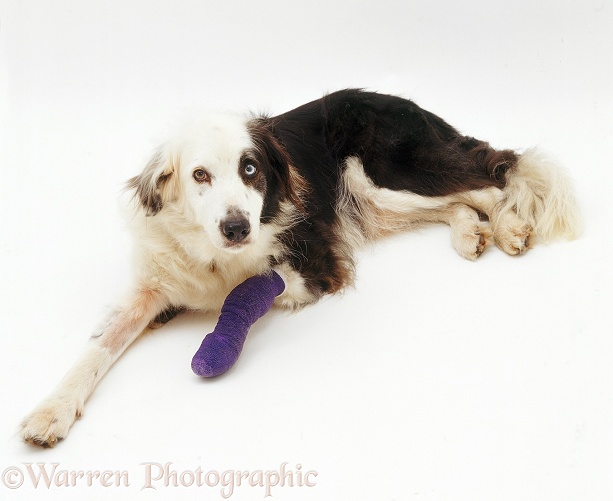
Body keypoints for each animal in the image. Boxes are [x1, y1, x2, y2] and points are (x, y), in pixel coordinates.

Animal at [21, 89, 580, 446]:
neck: (212, 251)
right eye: (200, 175)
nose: (237, 227)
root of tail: (407, 102)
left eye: (250, 169)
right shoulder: (153, 284)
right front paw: (51, 410)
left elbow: (242, 291)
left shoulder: (315, 261)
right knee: (460, 201)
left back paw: (508, 227)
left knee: (491, 179)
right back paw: (470, 233)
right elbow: (98, 346)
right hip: (371, 199)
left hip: (380, 173)